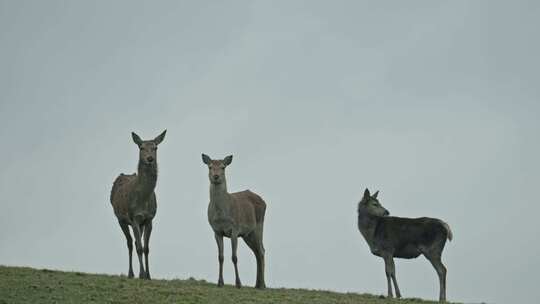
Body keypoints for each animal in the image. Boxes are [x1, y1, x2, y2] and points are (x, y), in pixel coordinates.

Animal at [110, 129, 167, 280]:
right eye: (141, 148)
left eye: (155, 148)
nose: (150, 158)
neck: (143, 201)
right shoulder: (134, 217)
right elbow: (140, 248)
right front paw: (141, 274)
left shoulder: (149, 219)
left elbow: (146, 248)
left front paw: (148, 275)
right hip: (121, 220)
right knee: (130, 243)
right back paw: (131, 273)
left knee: (136, 242)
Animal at [200, 154, 266, 290]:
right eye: (210, 167)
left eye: (223, 167)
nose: (216, 176)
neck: (222, 216)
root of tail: (264, 201)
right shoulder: (216, 231)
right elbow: (220, 257)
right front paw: (220, 283)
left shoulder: (234, 229)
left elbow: (234, 257)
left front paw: (238, 283)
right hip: (247, 234)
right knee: (257, 251)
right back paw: (257, 284)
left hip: (259, 225)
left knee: (262, 250)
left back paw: (262, 285)